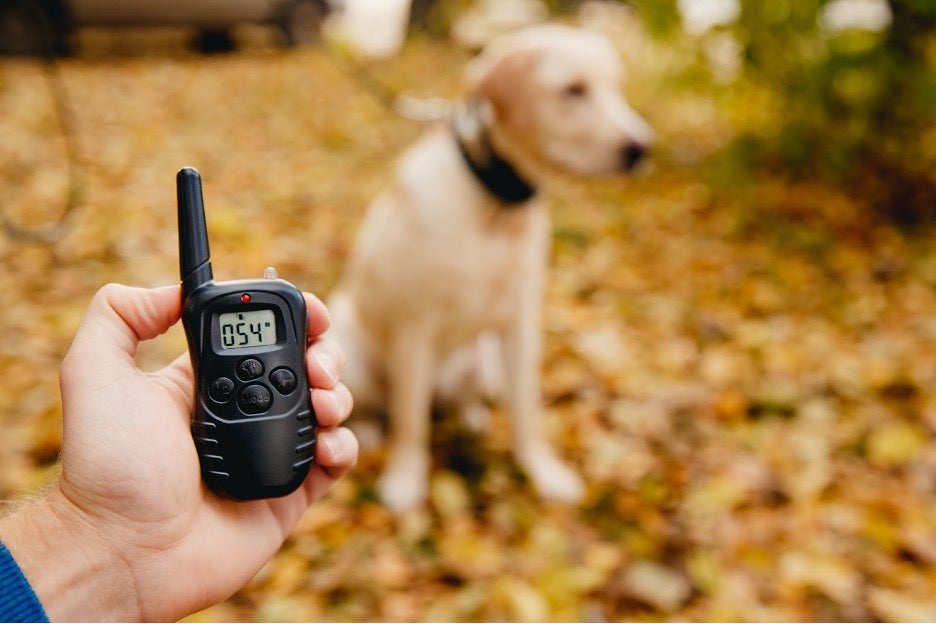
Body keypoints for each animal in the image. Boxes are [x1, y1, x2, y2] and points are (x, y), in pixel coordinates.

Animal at [332, 24, 656, 512]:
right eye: (573, 90)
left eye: (617, 87)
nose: (642, 147)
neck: (497, 205)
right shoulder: (414, 326)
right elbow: (409, 420)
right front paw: (405, 479)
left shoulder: (519, 321)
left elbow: (527, 408)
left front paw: (542, 471)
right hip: (353, 351)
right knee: (382, 406)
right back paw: (369, 429)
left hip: (481, 358)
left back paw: (471, 416)